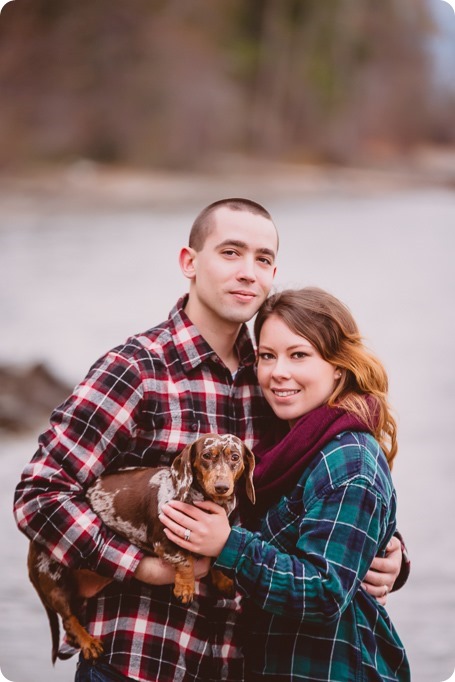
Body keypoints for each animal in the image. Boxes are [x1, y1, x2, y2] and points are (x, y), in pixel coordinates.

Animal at [27, 432, 256, 660]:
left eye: (235, 457)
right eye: (207, 455)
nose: (222, 487)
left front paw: (222, 579)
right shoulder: (162, 541)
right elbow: (185, 560)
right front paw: (186, 587)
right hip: (56, 586)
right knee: (68, 618)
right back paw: (88, 642)